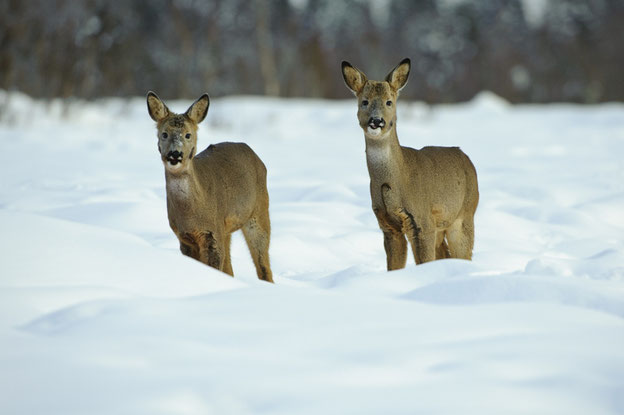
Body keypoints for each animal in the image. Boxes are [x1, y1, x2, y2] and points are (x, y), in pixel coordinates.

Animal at [147, 91, 274, 284]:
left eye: (188, 135)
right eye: (164, 134)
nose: (175, 154)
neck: (192, 214)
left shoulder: (212, 233)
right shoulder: (184, 237)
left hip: (258, 213)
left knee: (264, 266)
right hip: (227, 229)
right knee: (231, 269)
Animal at [344, 60, 480, 272]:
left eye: (389, 102)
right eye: (364, 101)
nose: (377, 121)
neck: (396, 180)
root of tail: (466, 158)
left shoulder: (422, 220)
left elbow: (424, 261)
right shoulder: (387, 224)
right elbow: (394, 267)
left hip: (464, 215)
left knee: (463, 255)